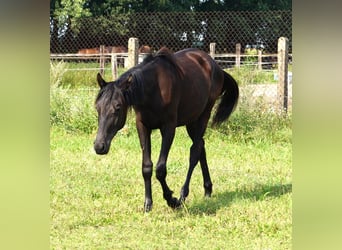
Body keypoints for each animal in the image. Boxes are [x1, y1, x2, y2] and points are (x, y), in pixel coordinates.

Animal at [92, 46, 239, 211]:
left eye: (117, 107)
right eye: (97, 107)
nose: (99, 146)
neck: (153, 89)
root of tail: (216, 67)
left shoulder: (168, 127)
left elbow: (160, 169)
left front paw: (171, 199)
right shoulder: (142, 127)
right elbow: (146, 167)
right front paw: (148, 203)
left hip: (204, 115)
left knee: (195, 152)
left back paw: (182, 195)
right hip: (191, 121)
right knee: (201, 146)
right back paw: (207, 190)